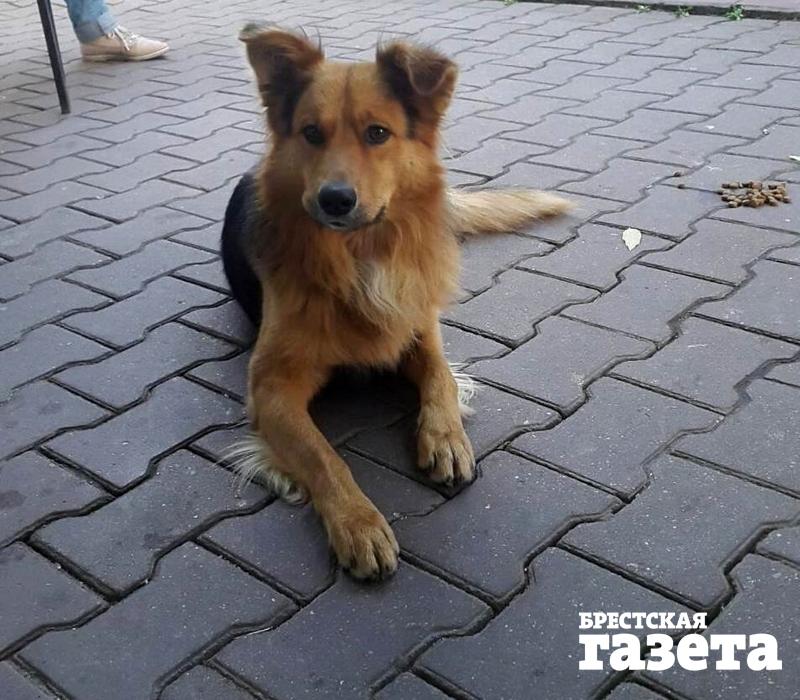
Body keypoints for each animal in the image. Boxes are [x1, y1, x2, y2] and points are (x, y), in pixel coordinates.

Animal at [220, 25, 571, 581]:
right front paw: (358, 523)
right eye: (311, 133)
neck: (359, 258)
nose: (334, 199)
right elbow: (323, 457)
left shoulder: (419, 330)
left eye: (378, 133)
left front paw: (445, 438)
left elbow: (441, 380)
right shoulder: (270, 385)